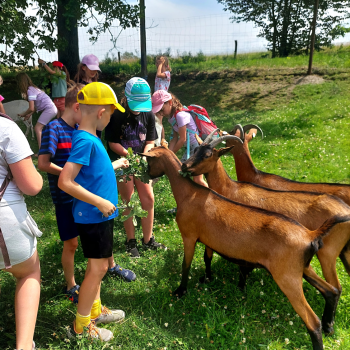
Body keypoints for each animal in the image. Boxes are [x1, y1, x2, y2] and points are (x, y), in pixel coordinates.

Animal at [140, 144, 350, 348]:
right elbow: (207, 258)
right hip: (302, 268)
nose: (146, 176)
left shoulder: (189, 236)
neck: (189, 193)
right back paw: (329, 326)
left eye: (149, 160)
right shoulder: (208, 238)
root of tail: (310, 234)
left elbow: (186, 265)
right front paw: (207, 278)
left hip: (289, 277)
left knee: (313, 322)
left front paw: (180, 291)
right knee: (331, 291)